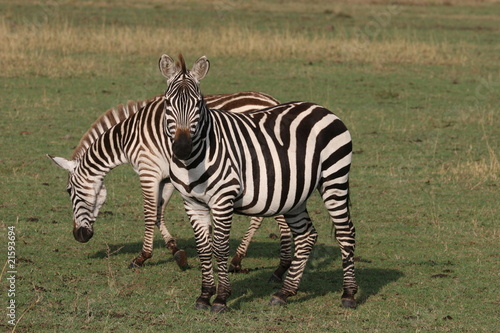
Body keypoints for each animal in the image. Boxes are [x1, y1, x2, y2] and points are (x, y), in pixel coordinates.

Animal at [47, 91, 292, 272]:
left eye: (69, 191)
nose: (79, 236)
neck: (128, 137)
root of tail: (273, 101)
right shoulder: (166, 177)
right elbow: (158, 213)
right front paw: (178, 253)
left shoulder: (148, 171)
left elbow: (148, 212)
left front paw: (142, 257)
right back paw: (239, 260)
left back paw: (281, 266)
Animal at [158, 54, 358, 312]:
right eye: (168, 104)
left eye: (199, 104)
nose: (182, 148)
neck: (193, 161)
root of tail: (322, 109)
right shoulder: (192, 203)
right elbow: (203, 249)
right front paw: (204, 296)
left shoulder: (223, 199)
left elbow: (220, 247)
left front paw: (221, 298)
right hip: (295, 193)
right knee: (307, 235)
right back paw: (284, 292)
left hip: (335, 178)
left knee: (345, 232)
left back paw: (349, 294)